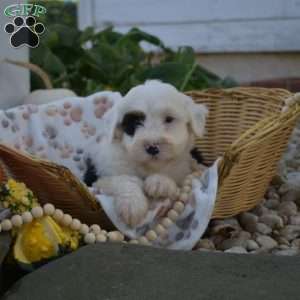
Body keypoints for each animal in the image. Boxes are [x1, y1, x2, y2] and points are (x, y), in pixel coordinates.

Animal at [88, 81, 207, 226]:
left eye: (169, 119)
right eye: (134, 122)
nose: (152, 147)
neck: (148, 166)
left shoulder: (182, 171)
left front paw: (159, 182)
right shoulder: (98, 178)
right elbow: (124, 179)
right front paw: (133, 205)